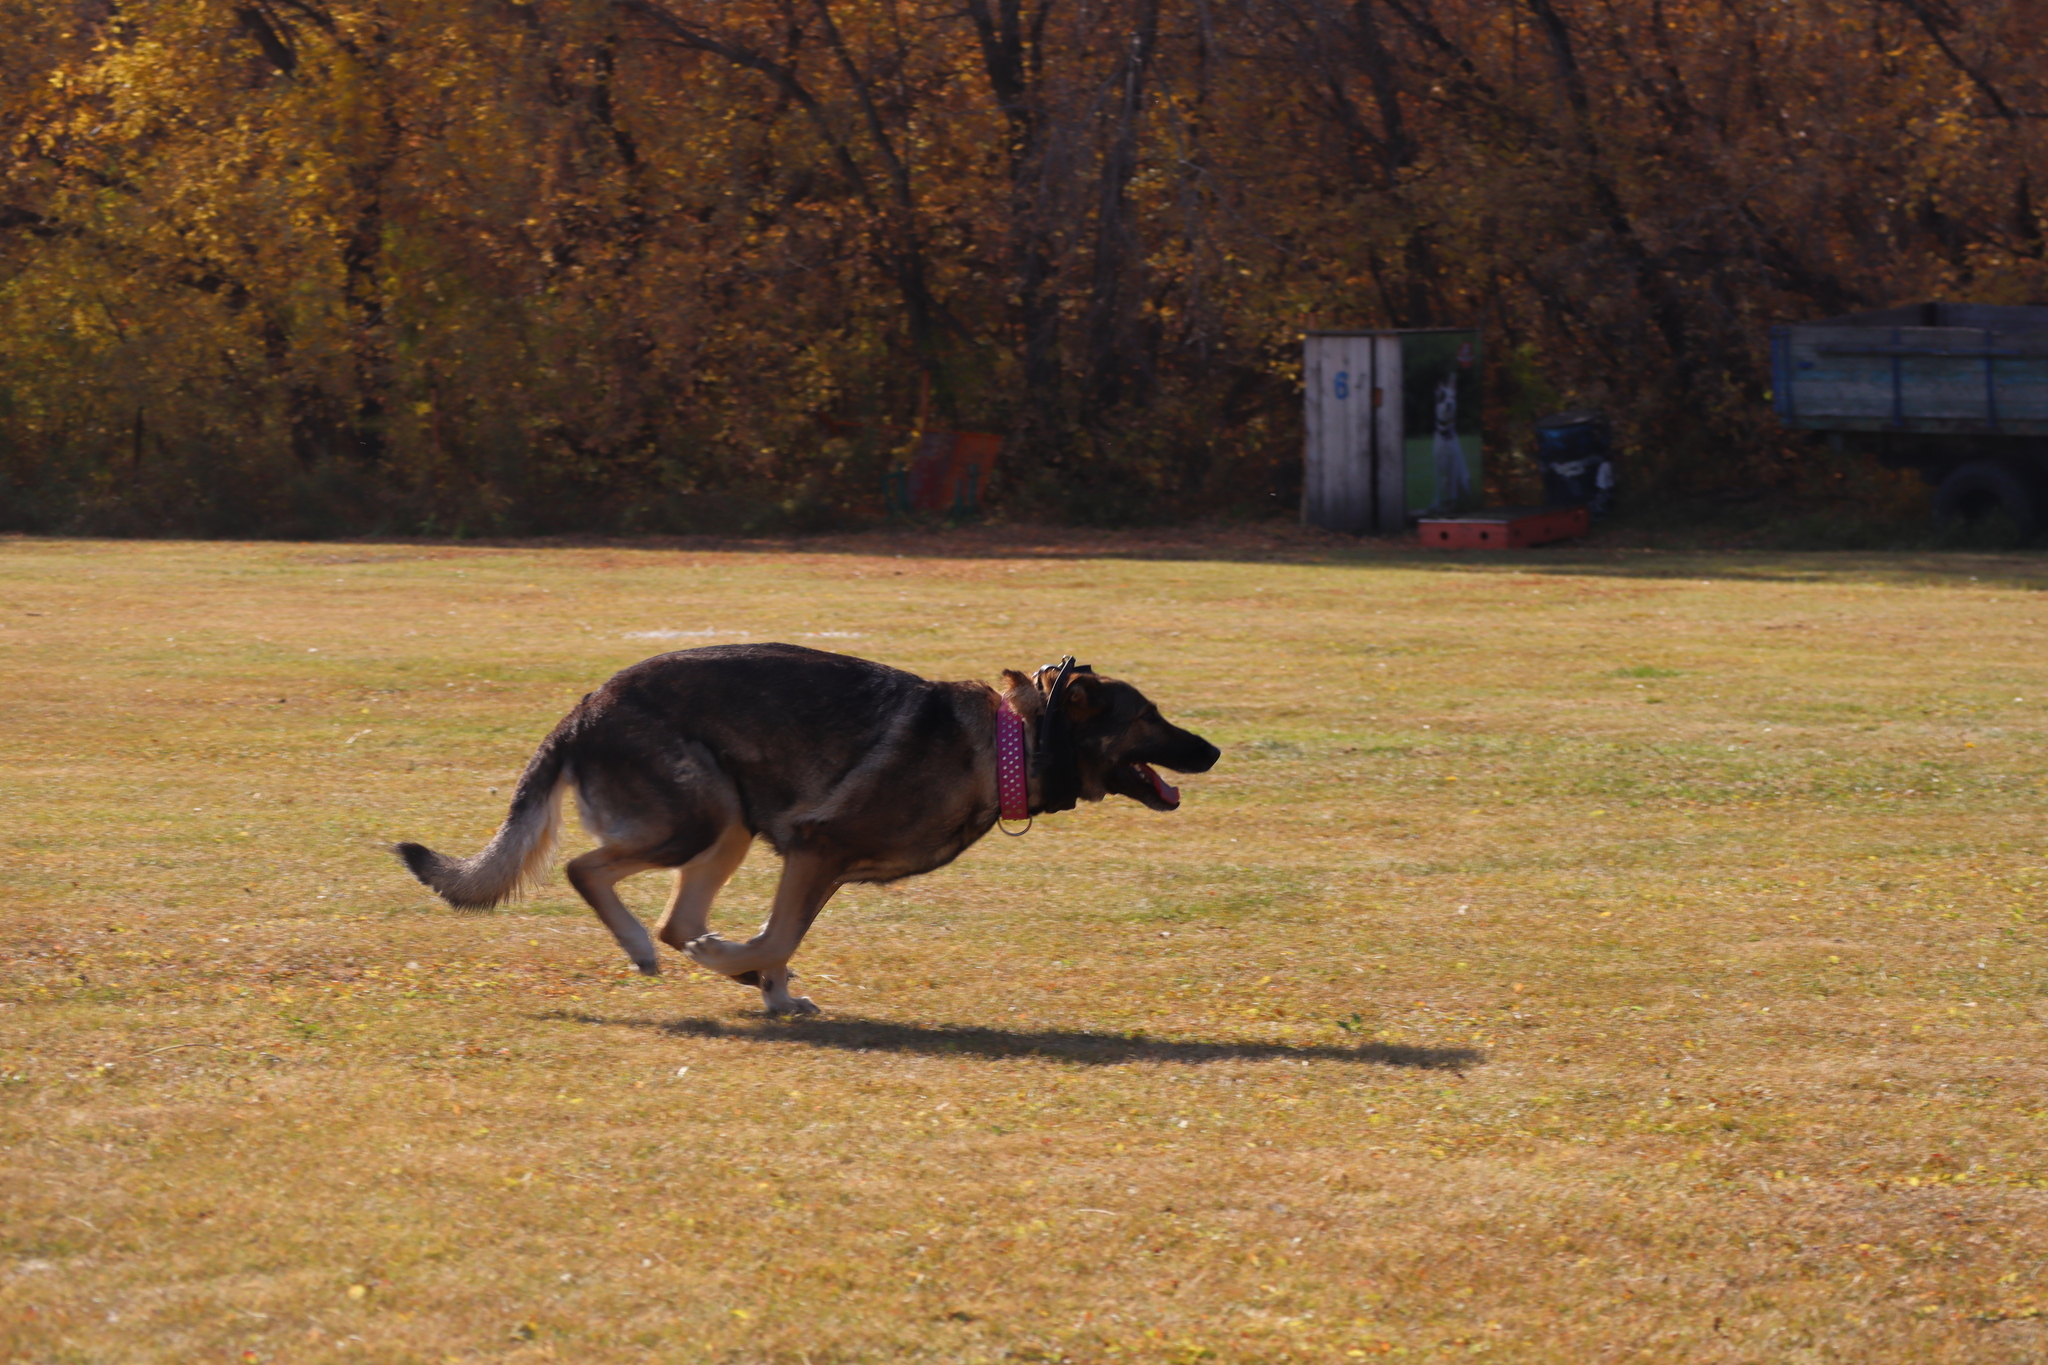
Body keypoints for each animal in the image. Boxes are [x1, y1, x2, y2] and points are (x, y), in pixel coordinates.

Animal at [395, 650, 1212, 1015]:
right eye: (1148, 716)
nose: (1214, 751)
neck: (1013, 743)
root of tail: (582, 710)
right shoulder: (817, 850)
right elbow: (777, 936)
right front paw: (746, 967)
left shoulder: (816, 867)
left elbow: (779, 939)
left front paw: (767, 985)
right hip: (701, 818)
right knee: (591, 875)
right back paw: (653, 950)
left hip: (727, 827)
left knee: (674, 919)